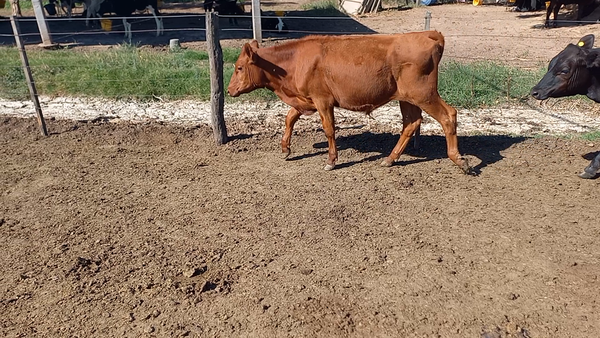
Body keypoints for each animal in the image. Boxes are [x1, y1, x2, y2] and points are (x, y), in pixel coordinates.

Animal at [227, 31, 472, 174]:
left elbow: (329, 129)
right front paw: (285, 148)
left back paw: (459, 160)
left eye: (239, 67)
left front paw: (331, 160)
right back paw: (390, 159)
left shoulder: (322, 99)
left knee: (448, 116)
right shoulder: (306, 100)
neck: (294, 61)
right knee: (411, 123)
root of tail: (428, 34)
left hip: (424, 94)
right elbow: (289, 118)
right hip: (408, 98)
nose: (229, 90)